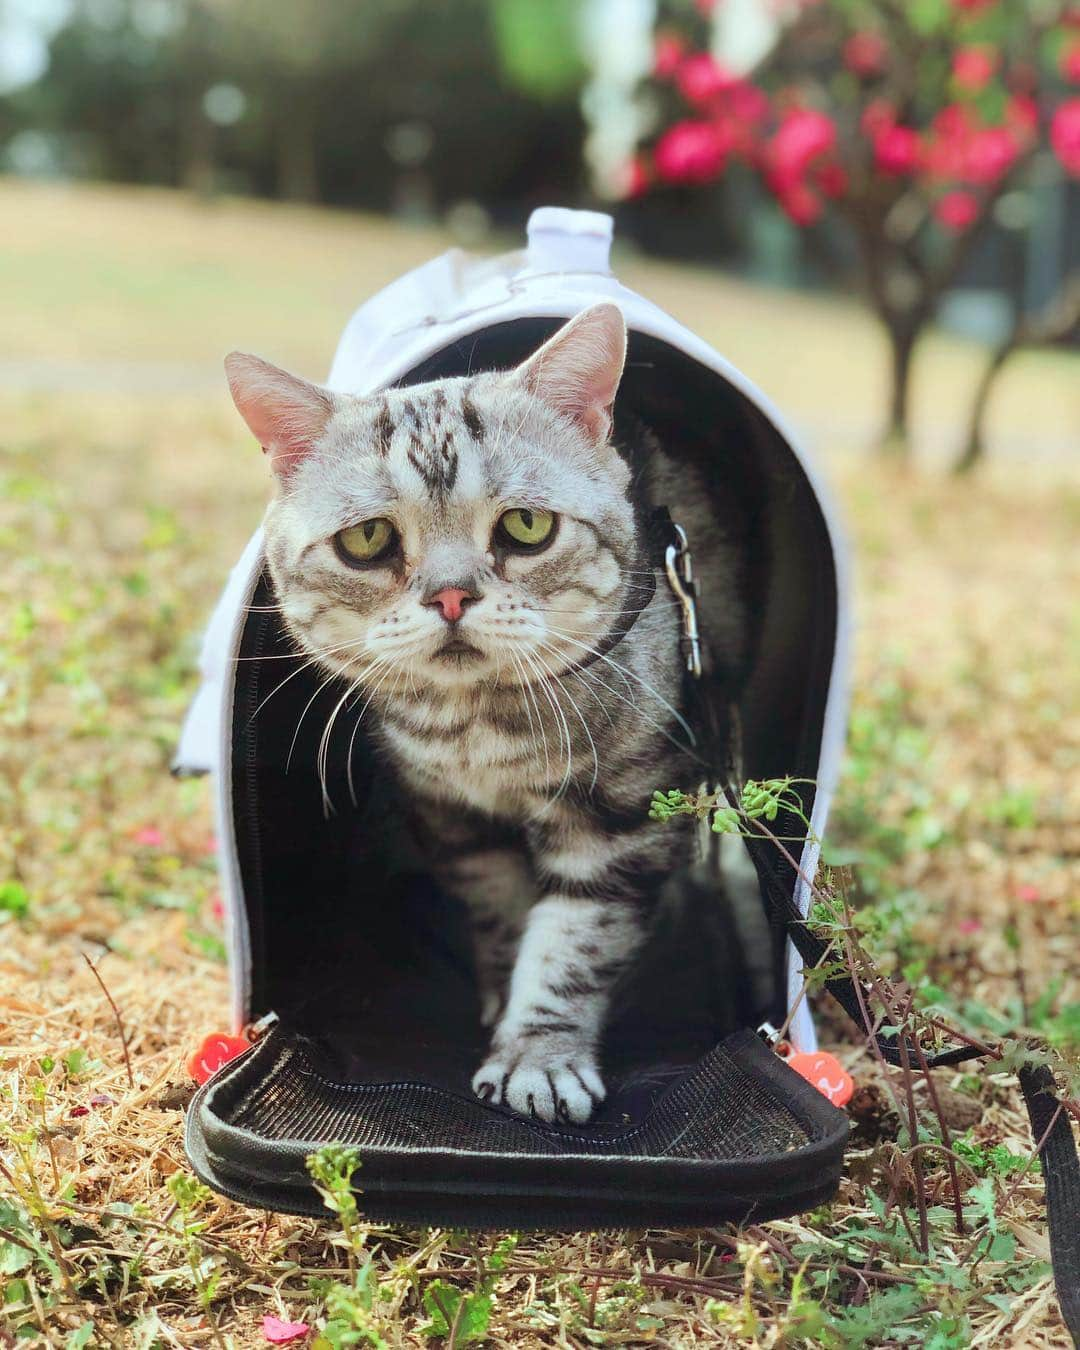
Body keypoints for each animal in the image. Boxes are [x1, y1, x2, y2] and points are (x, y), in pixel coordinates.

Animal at [225, 306, 750, 1128]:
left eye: (527, 527)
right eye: (367, 539)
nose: (449, 595)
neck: (479, 731)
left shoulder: (624, 824)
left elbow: (574, 945)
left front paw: (540, 1057)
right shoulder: (455, 823)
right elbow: (502, 915)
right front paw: (504, 999)